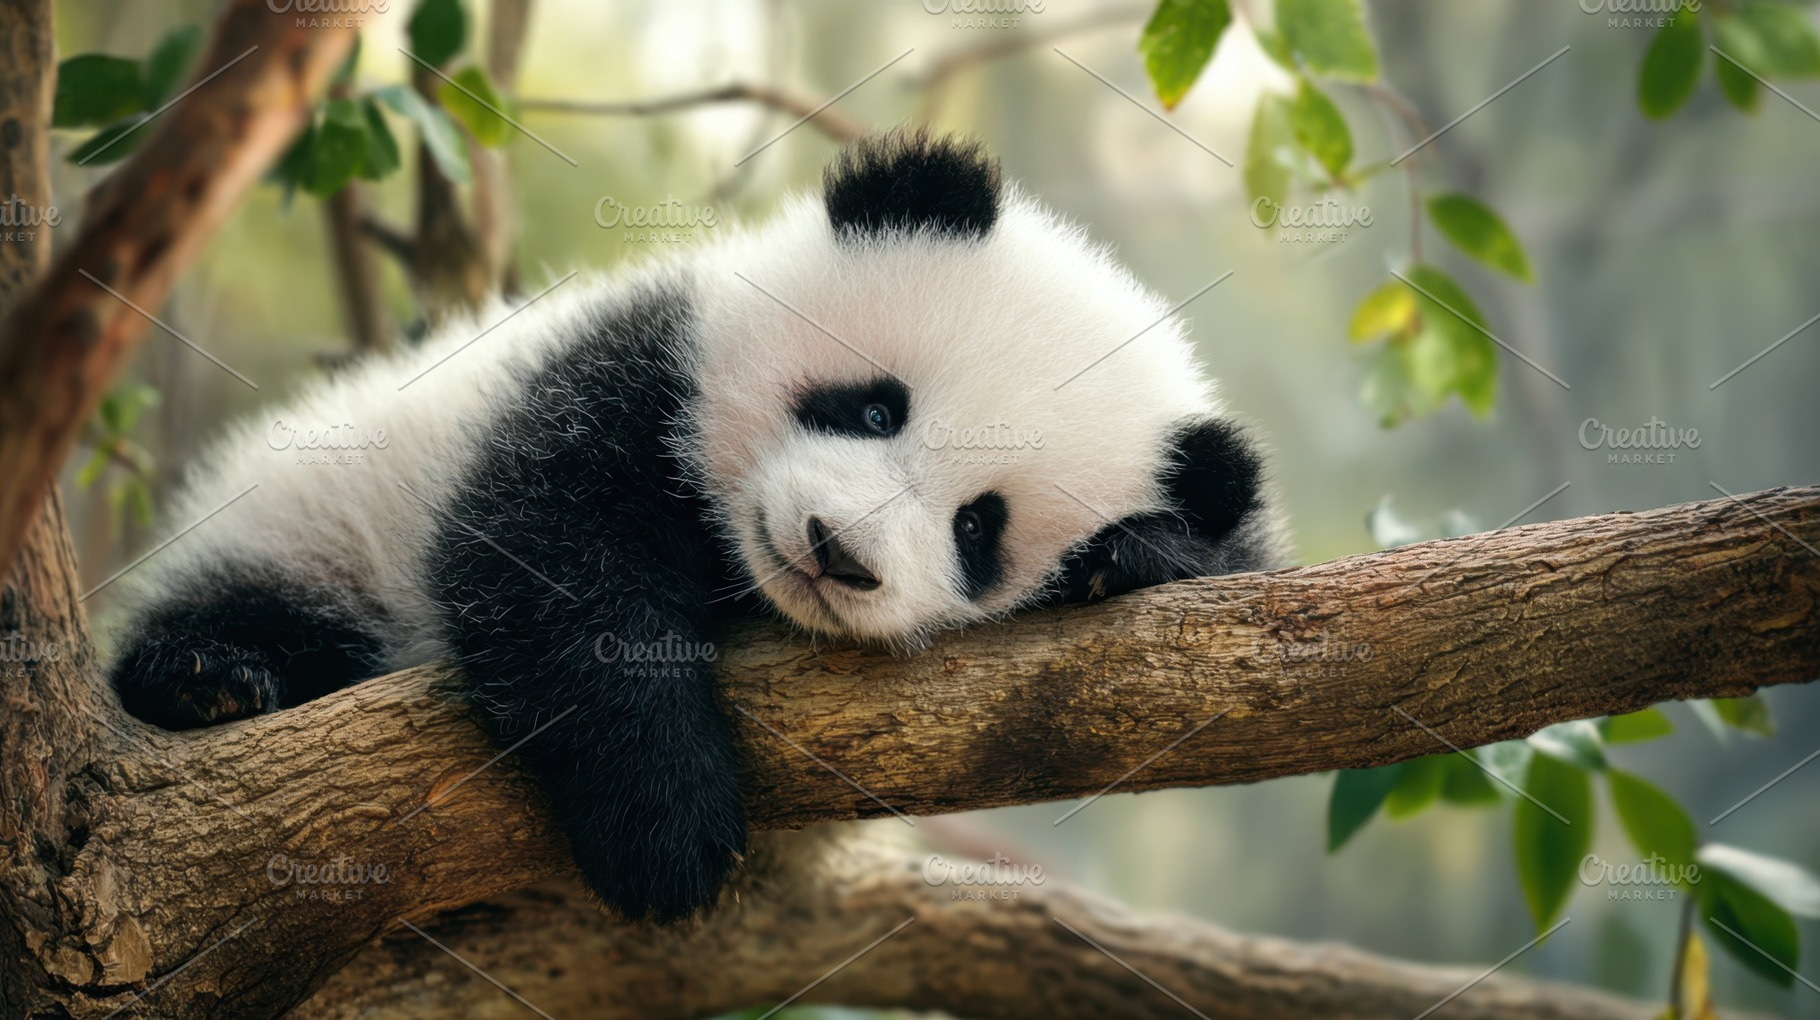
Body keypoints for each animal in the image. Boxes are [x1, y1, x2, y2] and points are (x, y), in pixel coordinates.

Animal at [108, 130, 1285, 923]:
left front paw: (1145, 554)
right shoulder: (636, 365)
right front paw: (665, 828)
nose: (838, 552)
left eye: (977, 530)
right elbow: (550, 562)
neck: (740, 573)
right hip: (312, 515)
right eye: (873, 407)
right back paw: (209, 678)